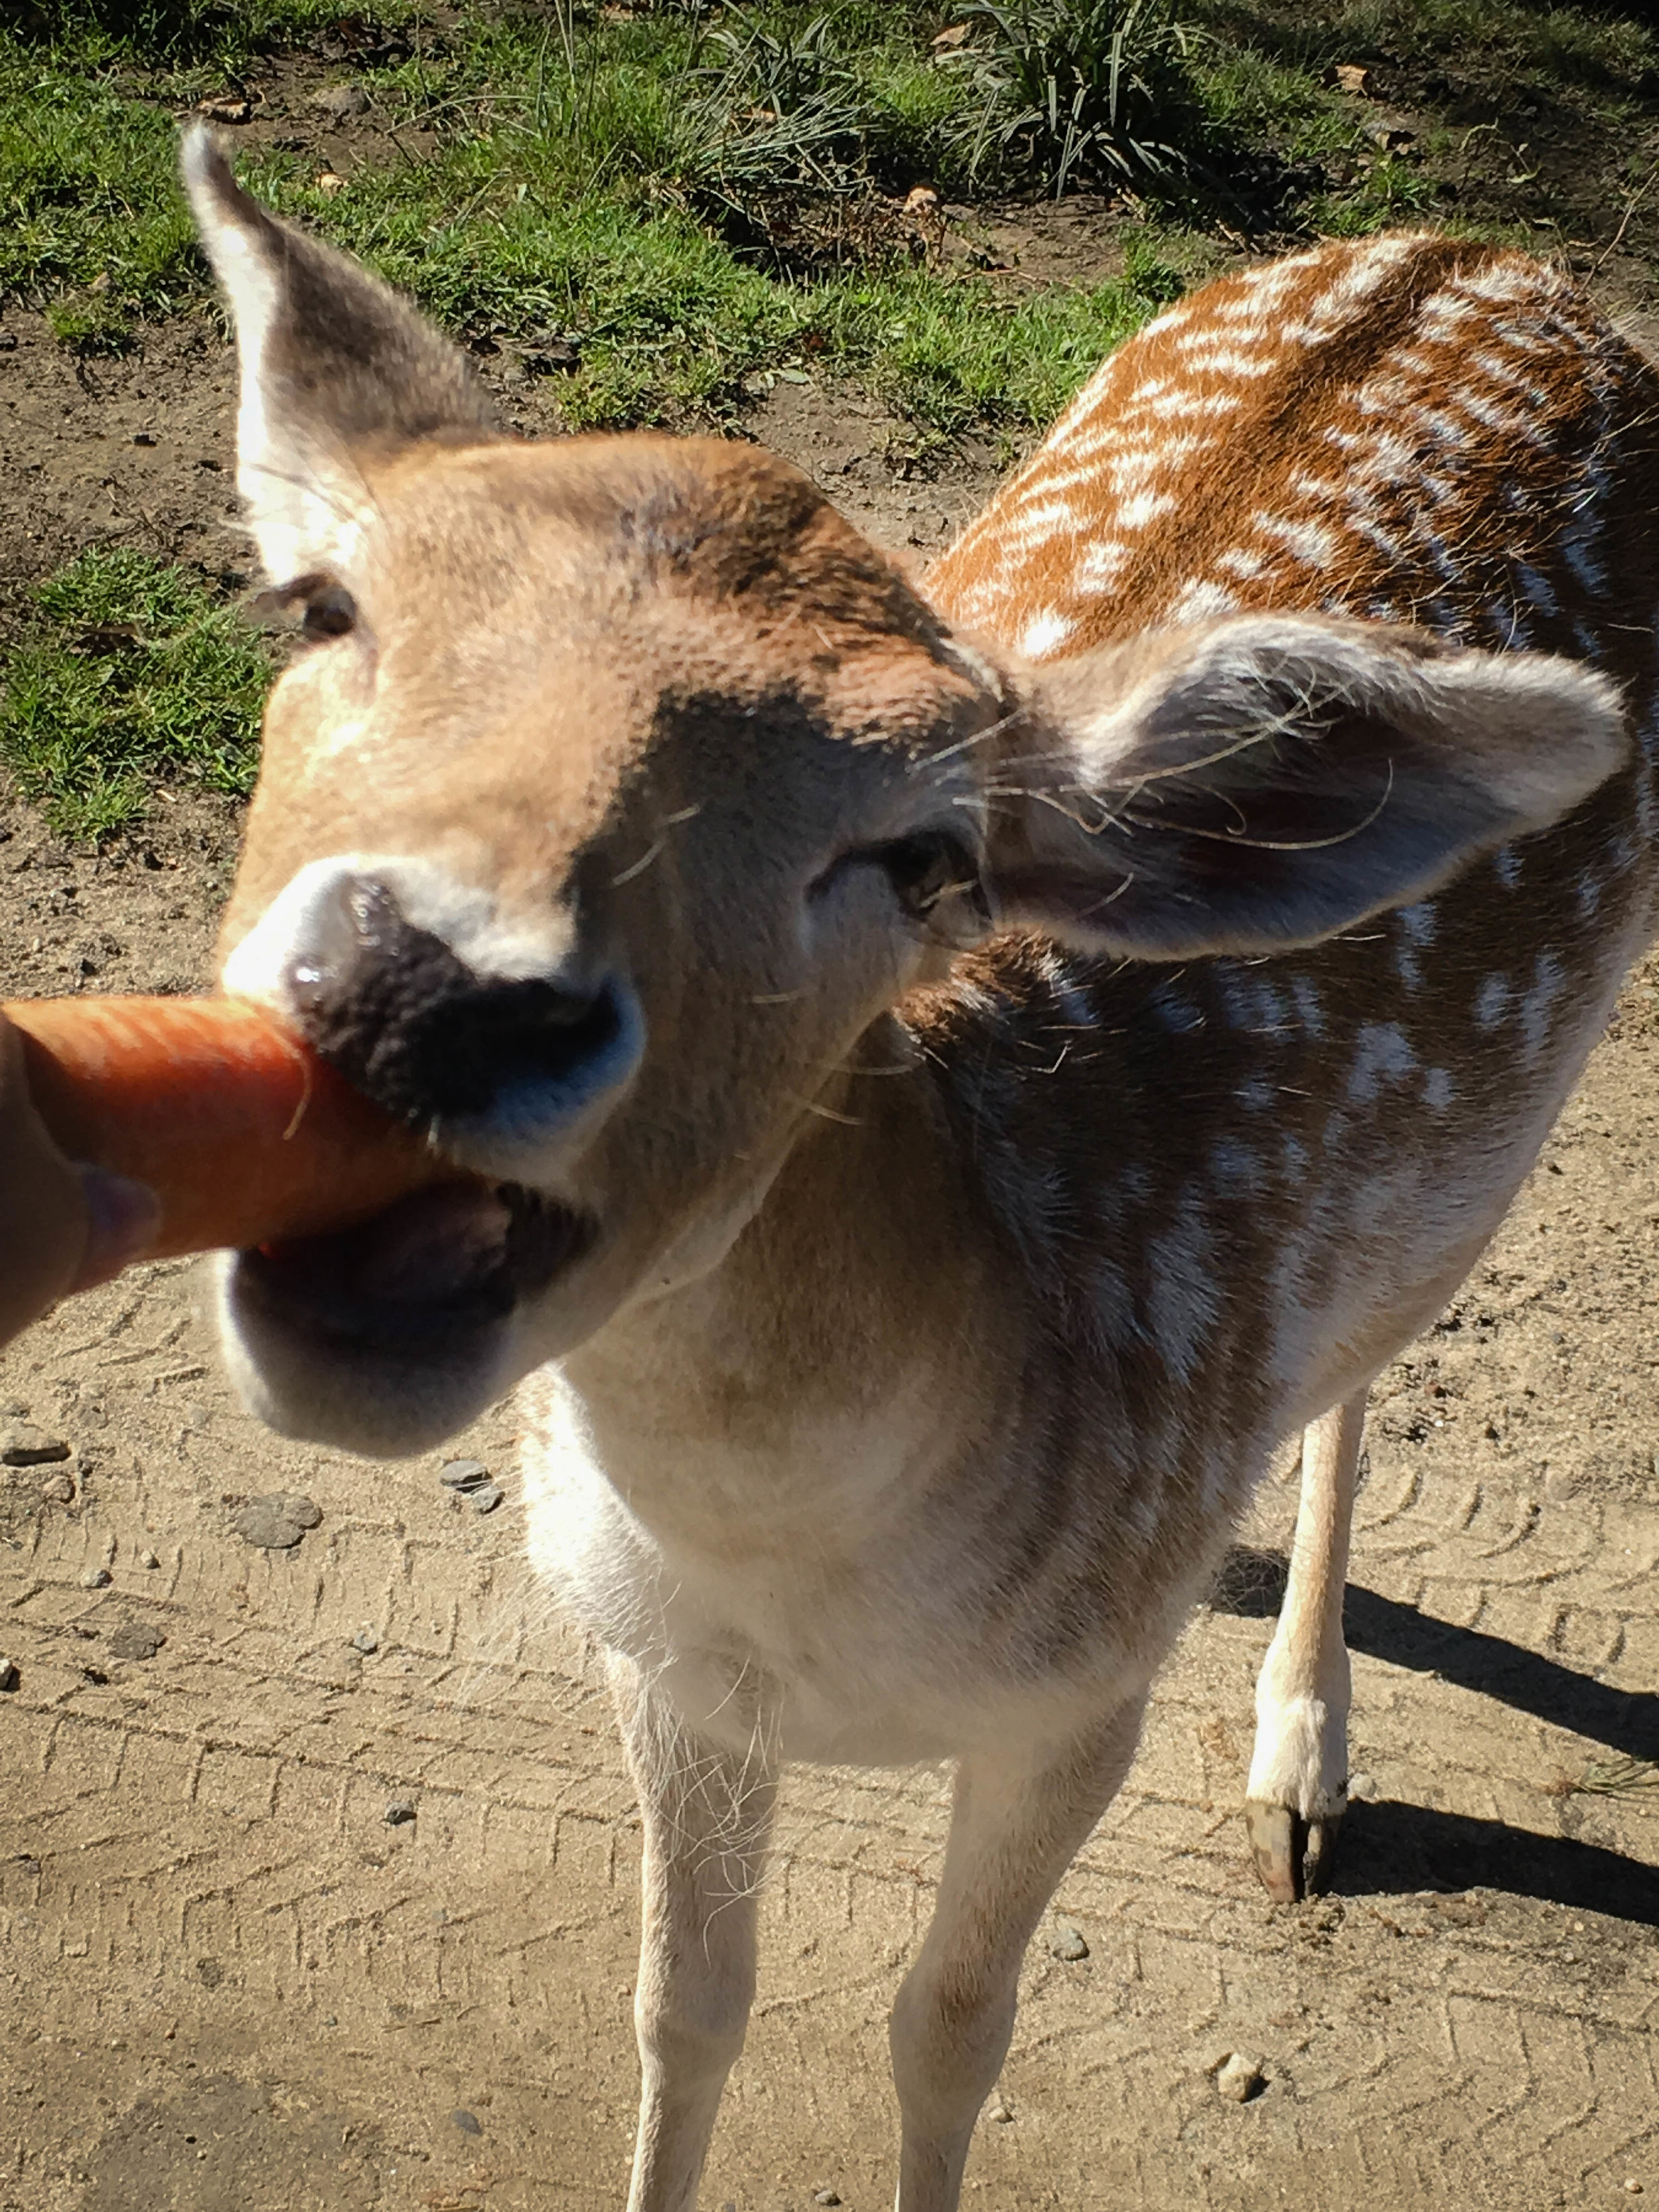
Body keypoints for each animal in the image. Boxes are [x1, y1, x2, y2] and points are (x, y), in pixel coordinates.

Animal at [179, 129, 1654, 2212]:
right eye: (319, 607)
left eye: (923, 851)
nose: (423, 992)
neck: (813, 1589)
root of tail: (1489, 249)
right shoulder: (656, 1662)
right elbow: (680, 2013)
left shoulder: (1072, 1708)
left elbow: (949, 2034)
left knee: (1364, 1370)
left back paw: (1303, 1756)